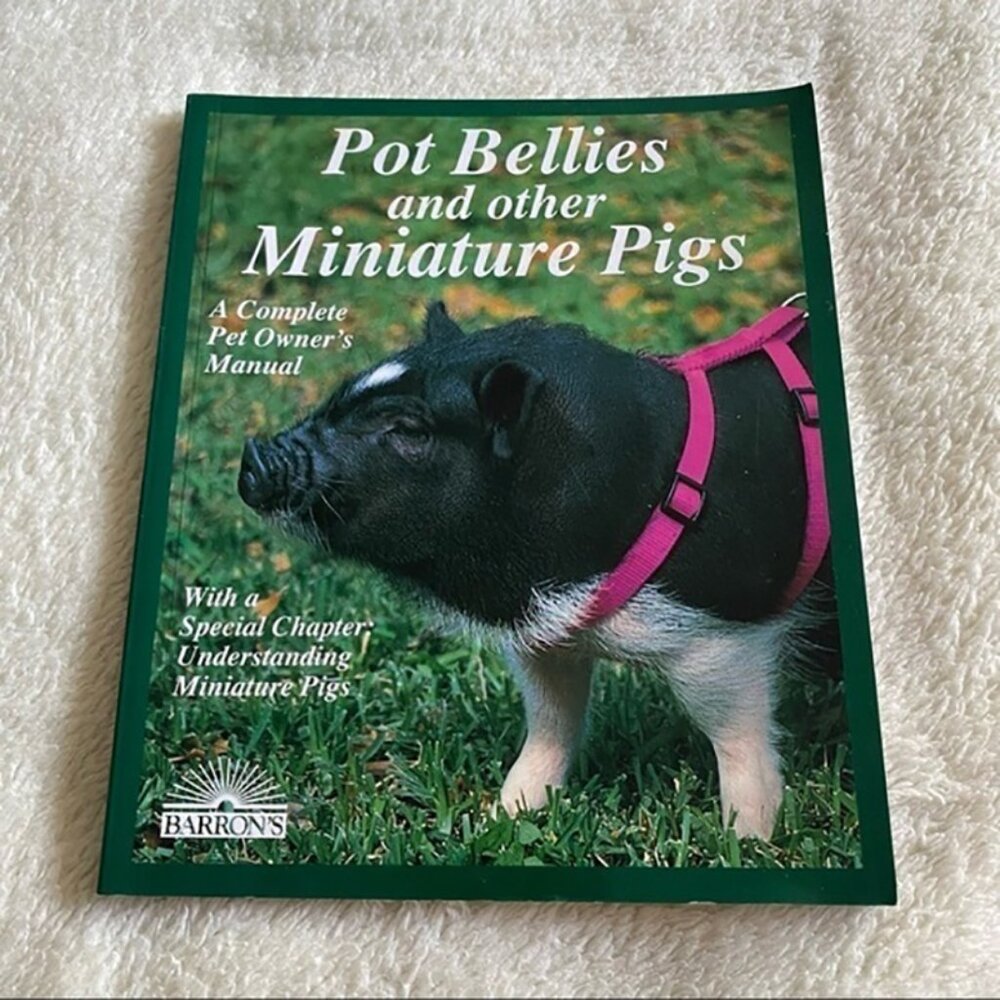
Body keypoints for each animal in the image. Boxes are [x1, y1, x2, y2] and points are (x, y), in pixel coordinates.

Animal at [237, 301, 838, 839]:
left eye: (408, 430)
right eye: (341, 397)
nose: (255, 458)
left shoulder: (725, 630)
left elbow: (737, 740)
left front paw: (747, 840)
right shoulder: (547, 639)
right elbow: (552, 723)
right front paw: (505, 816)